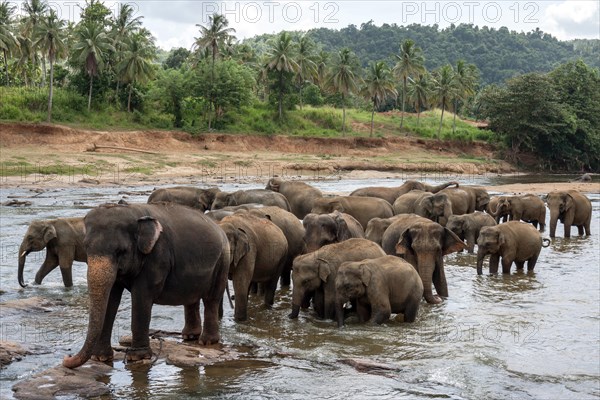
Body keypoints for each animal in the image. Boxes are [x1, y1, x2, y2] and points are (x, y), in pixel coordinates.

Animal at [61, 203, 230, 368]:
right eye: (86, 248)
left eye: (121, 251)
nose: (66, 357)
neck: (133, 212)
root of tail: (219, 228)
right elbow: (111, 298)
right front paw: (100, 358)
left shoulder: (157, 256)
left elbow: (141, 296)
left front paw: (137, 357)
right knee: (191, 298)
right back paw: (190, 336)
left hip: (222, 261)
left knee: (211, 299)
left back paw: (207, 341)